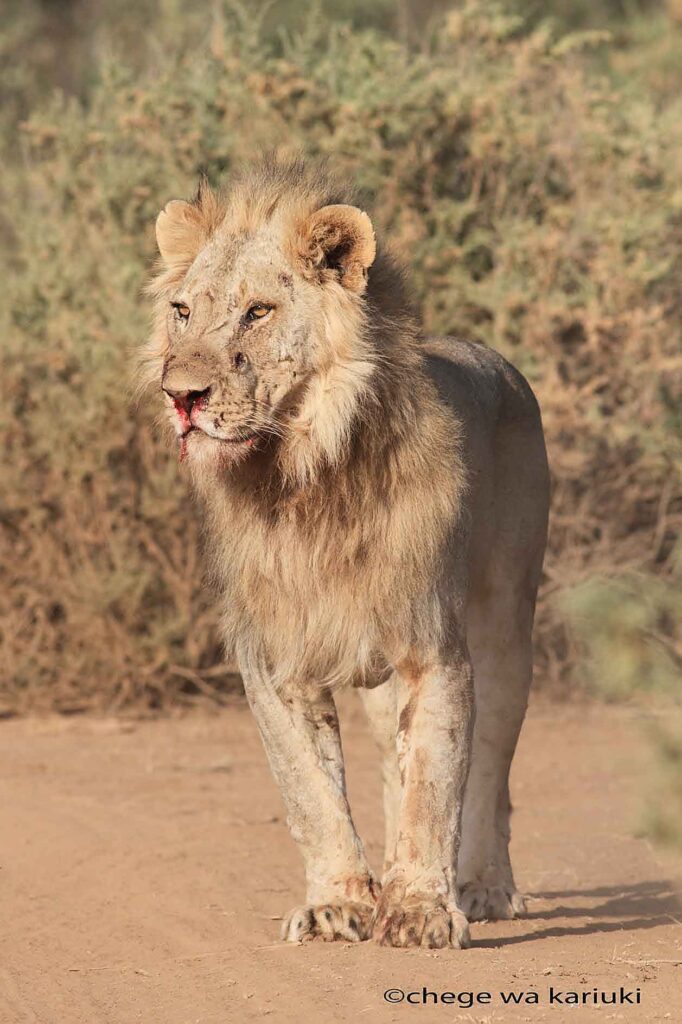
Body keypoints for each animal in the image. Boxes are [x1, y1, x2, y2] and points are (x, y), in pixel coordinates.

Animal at [142, 159, 548, 950]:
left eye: (258, 312)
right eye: (182, 312)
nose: (181, 396)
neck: (302, 478)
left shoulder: (432, 644)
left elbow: (436, 785)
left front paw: (421, 911)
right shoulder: (276, 657)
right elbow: (310, 791)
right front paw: (339, 905)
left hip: (507, 626)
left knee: (491, 767)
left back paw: (484, 885)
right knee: (393, 764)